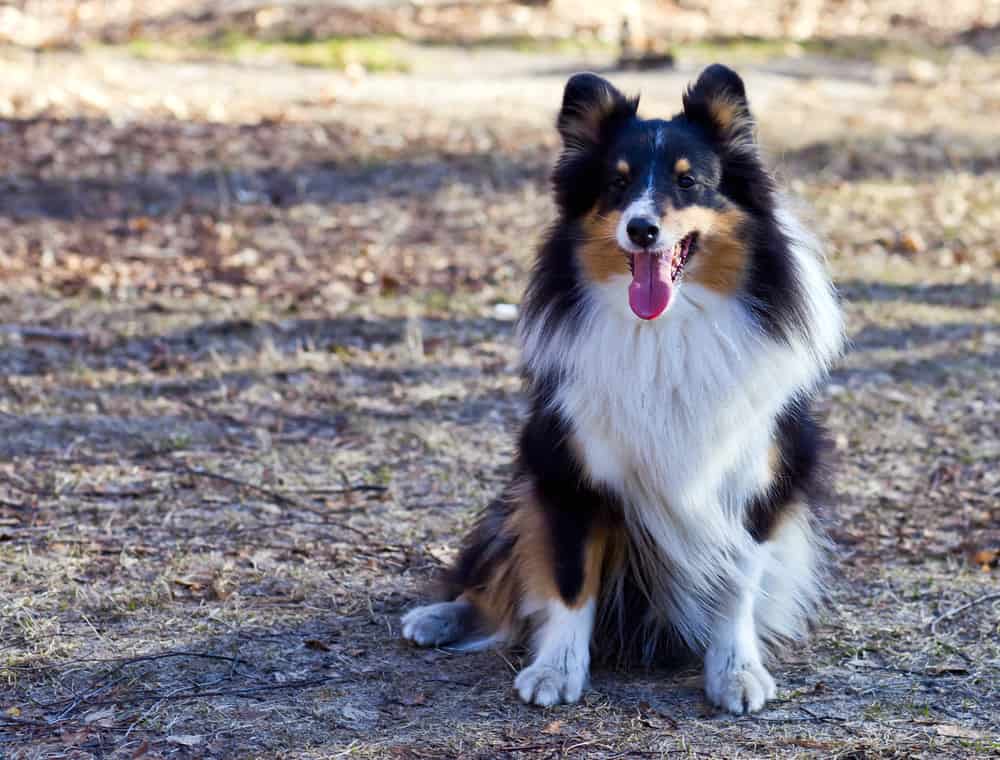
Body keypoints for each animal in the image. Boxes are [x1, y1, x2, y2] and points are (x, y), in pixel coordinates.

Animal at [402, 63, 840, 712]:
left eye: (689, 182)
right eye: (616, 182)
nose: (642, 229)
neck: (665, 332)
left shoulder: (761, 475)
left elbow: (737, 581)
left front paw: (736, 673)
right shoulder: (567, 469)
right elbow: (568, 579)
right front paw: (556, 671)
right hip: (519, 491)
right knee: (493, 571)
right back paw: (438, 616)